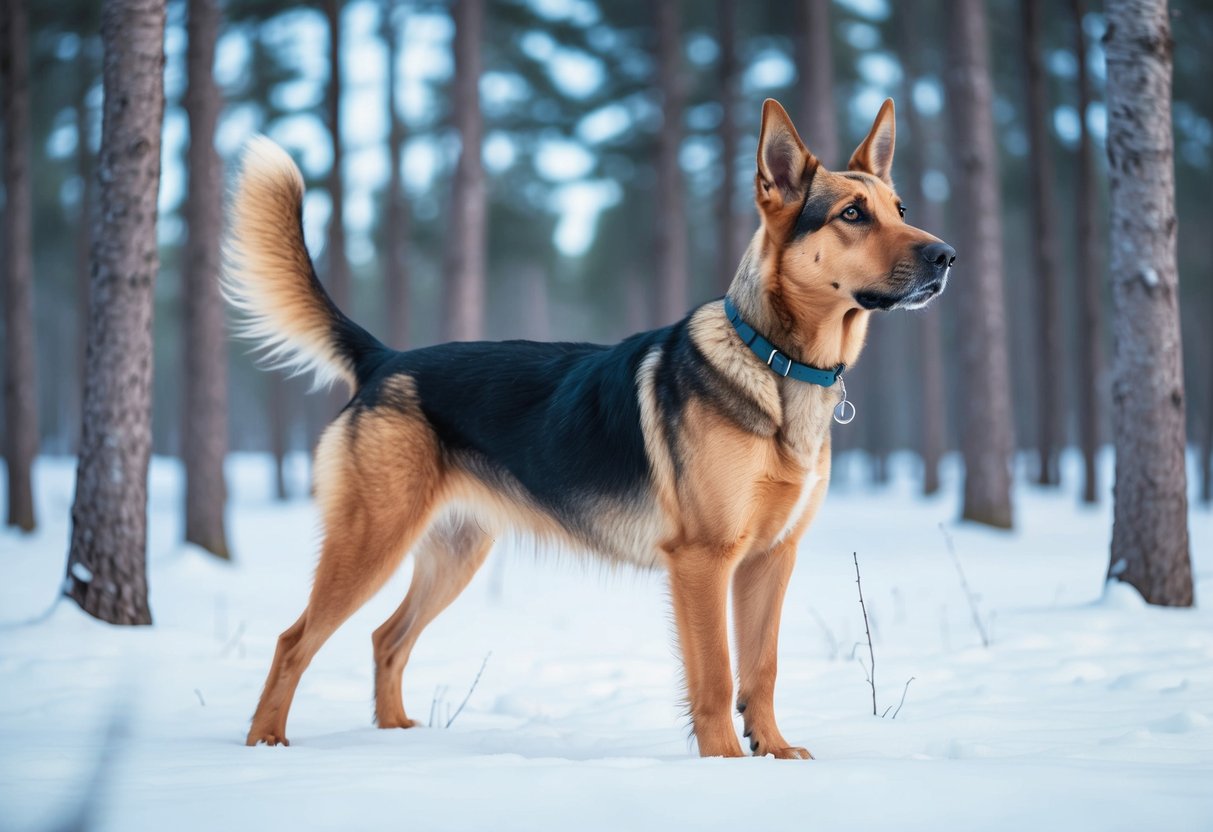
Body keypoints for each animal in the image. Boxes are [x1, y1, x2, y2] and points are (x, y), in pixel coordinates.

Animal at [223, 96, 950, 756]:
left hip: (455, 553)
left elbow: (761, 671)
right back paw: (264, 742)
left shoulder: (770, 559)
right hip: (370, 542)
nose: (946, 255)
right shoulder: (703, 560)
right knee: (293, 640)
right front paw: (723, 764)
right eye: (851, 214)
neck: (773, 362)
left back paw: (396, 734)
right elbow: (716, 678)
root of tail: (386, 358)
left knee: (386, 638)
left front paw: (772, 753)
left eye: (900, 210)